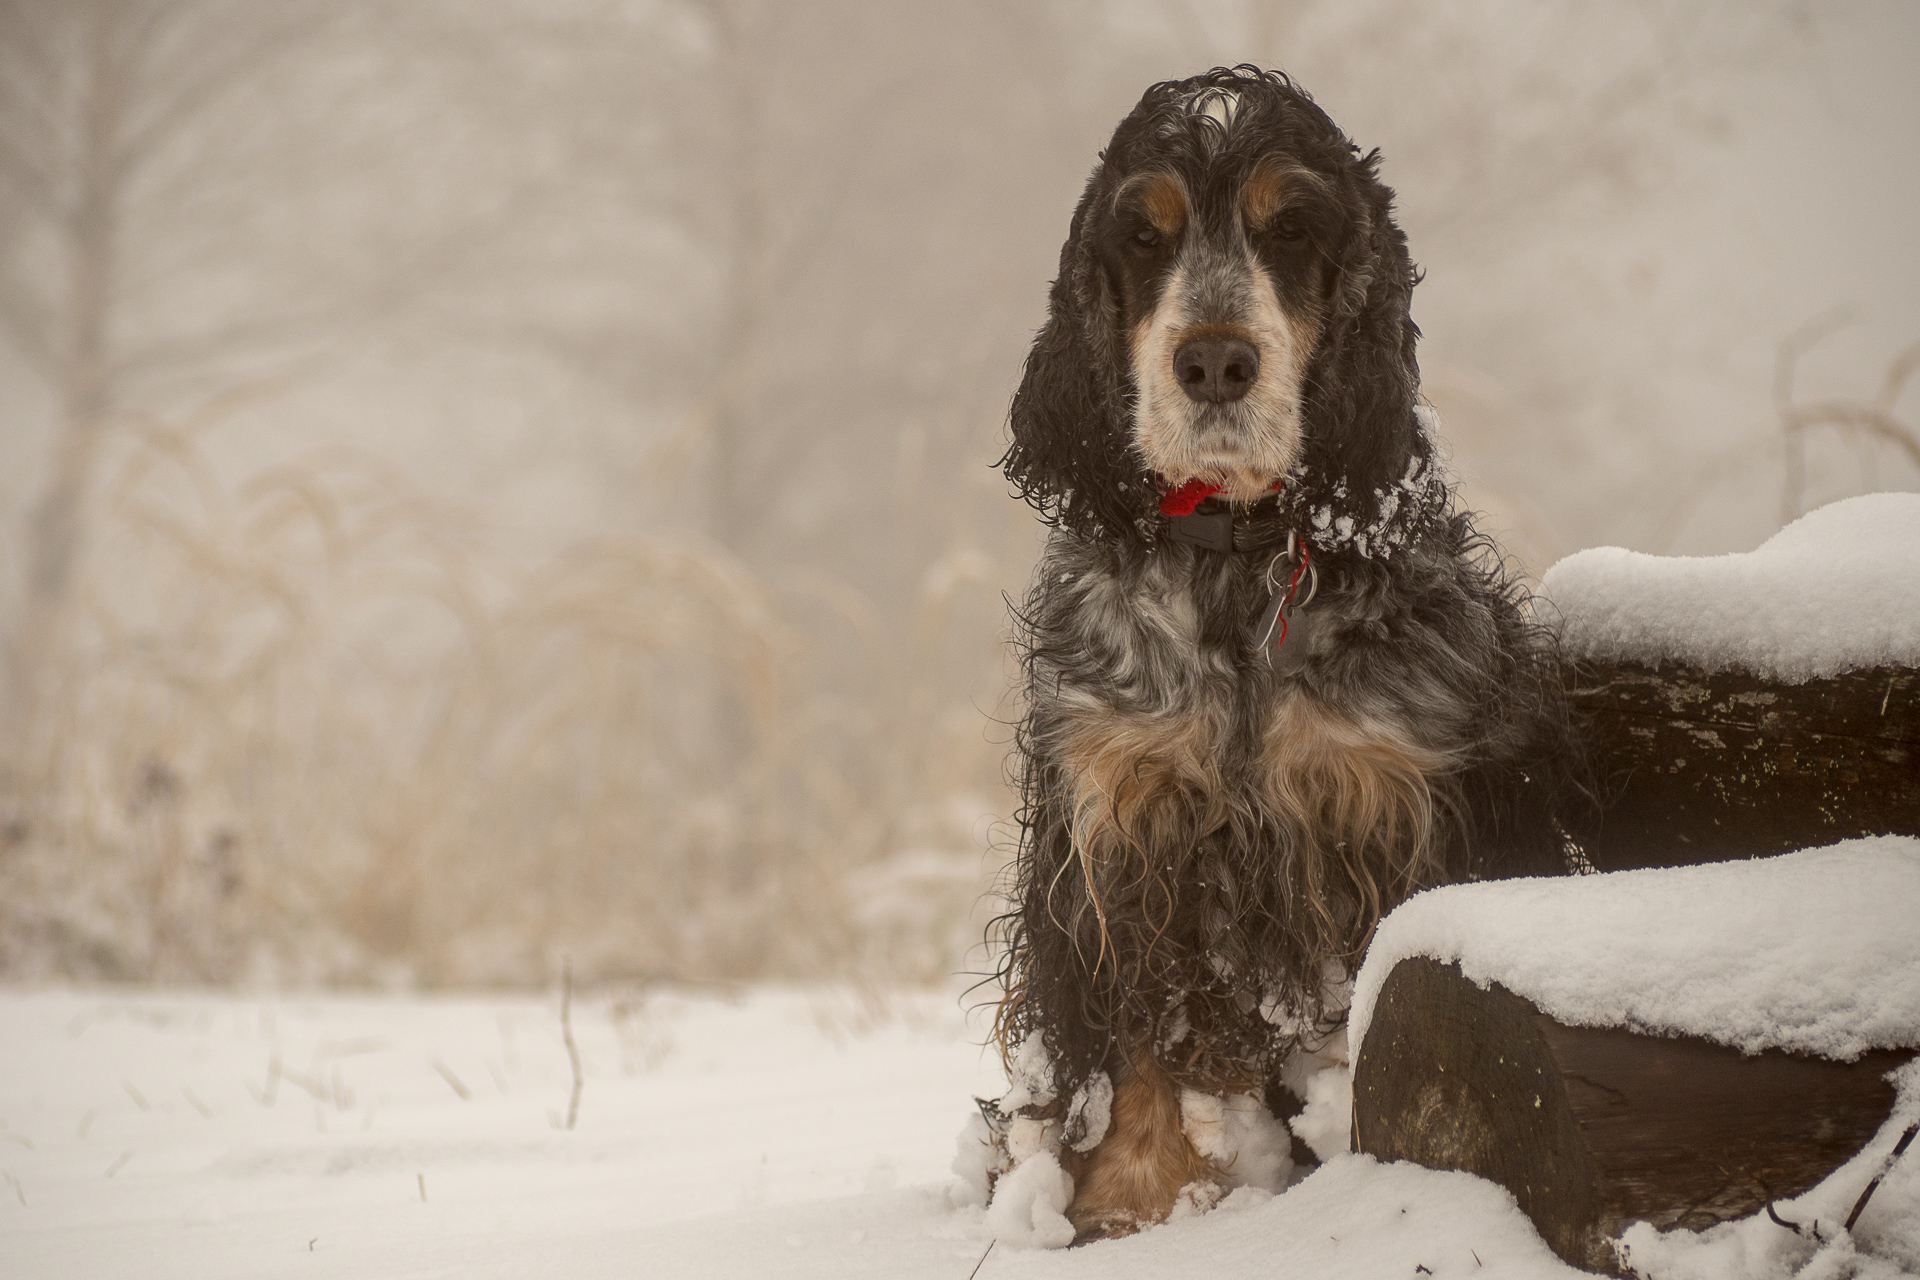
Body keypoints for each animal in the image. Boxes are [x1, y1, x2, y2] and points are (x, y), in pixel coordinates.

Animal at [983, 67, 1582, 1243]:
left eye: (1293, 227)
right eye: (1143, 234)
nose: (1214, 361)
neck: (1241, 554)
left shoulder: (1386, 807)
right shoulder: (1125, 815)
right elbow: (1137, 1034)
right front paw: (1140, 1202)